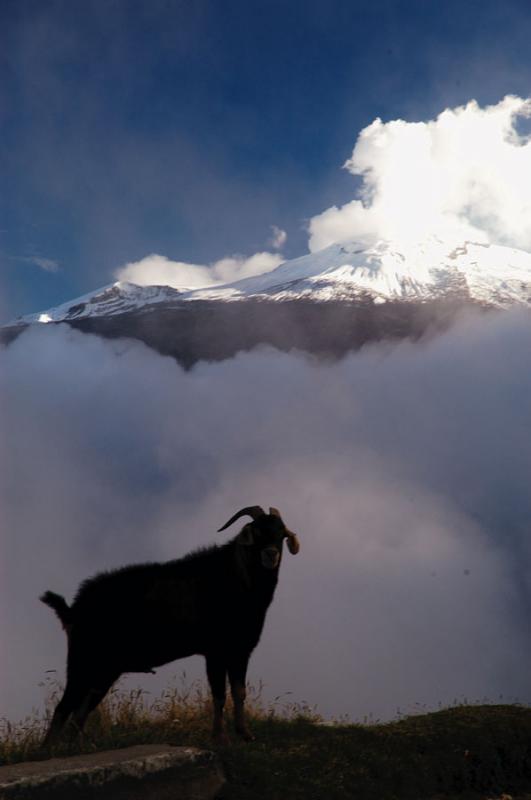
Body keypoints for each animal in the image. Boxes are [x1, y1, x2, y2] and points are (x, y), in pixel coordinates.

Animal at [40, 506, 300, 744]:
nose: (271, 555)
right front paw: (219, 737)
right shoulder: (215, 651)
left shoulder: (240, 650)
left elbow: (239, 692)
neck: (237, 578)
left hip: (105, 670)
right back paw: (50, 751)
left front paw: (245, 734)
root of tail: (74, 609)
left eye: (281, 532)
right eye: (257, 531)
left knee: (80, 710)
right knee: (64, 706)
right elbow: (218, 694)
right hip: (82, 660)